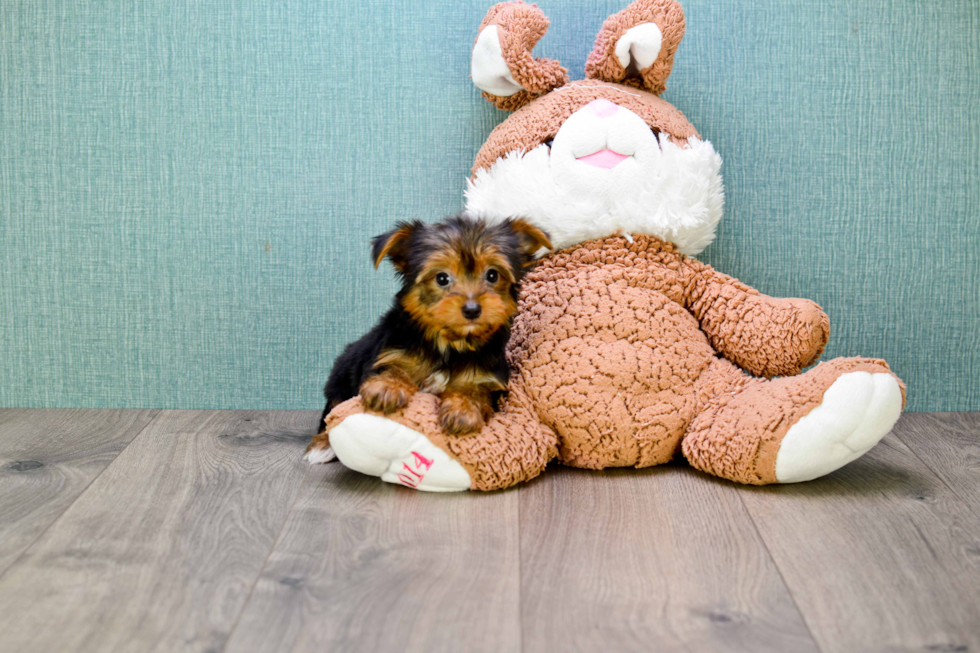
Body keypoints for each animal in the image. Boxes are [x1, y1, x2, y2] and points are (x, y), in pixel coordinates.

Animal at [316, 215, 552, 438]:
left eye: (492, 275)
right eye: (442, 278)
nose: (472, 309)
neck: (451, 343)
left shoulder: (488, 377)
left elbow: (476, 390)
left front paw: (463, 409)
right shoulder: (392, 352)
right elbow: (394, 367)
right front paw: (387, 387)